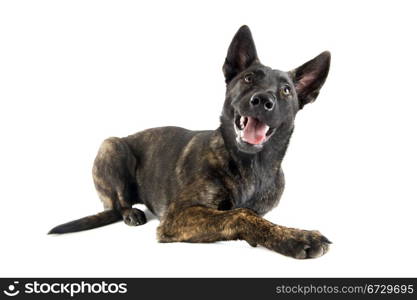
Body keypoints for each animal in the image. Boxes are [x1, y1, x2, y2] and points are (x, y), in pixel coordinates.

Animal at [48, 25, 330, 258]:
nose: (262, 100)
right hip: (112, 146)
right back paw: (130, 213)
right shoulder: (178, 215)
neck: (251, 165)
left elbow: (251, 214)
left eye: (286, 90)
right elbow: (240, 214)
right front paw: (297, 237)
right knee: (118, 203)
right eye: (249, 78)